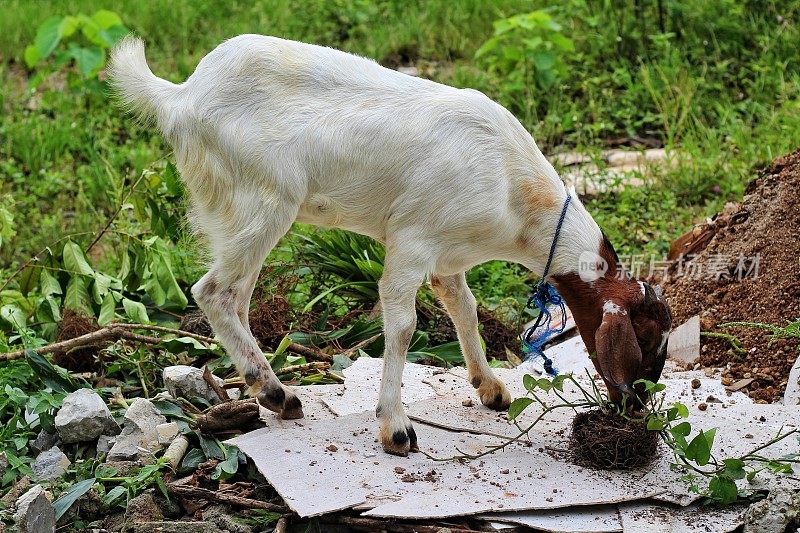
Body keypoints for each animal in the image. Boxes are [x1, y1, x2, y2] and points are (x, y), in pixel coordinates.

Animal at [104, 35, 668, 456]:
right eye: (643, 337)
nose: (635, 408)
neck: (516, 192)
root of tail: (179, 96)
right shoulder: (411, 239)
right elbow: (402, 325)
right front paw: (395, 428)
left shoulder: (448, 256)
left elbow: (464, 308)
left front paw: (489, 386)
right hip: (261, 201)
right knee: (213, 291)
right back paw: (276, 391)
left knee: (236, 297)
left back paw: (269, 390)